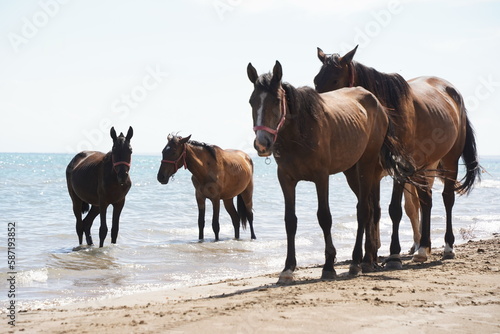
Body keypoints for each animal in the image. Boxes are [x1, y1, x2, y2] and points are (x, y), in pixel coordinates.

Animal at [247, 60, 418, 282]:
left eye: (276, 101)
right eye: (251, 102)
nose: (262, 143)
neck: (300, 132)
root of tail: (377, 104)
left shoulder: (321, 177)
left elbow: (324, 217)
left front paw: (328, 265)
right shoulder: (285, 179)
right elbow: (290, 221)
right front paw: (288, 268)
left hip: (366, 165)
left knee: (363, 211)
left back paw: (357, 261)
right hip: (352, 173)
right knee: (370, 210)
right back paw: (368, 259)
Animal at [314, 46, 482, 266]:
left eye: (335, 80)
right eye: (316, 80)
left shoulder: (398, 168)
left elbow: (394, 209)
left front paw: (393, 254)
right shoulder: (371, 170)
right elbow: (373, 210)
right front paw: (372, 255)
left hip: (449, 160)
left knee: (447, 198)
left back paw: (447, 247)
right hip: (423, 165)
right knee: (425, 201)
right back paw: (423, 248)